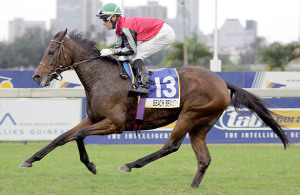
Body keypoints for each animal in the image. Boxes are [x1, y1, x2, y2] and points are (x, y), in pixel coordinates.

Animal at [19, 29, 290, 187]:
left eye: (51, 51)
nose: (36, 77)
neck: (102, 78)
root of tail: (222, 81)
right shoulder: (94, 118)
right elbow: (63, 137)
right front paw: (29, 160)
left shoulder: (115, 124)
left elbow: (79, 136)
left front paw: (91, 165)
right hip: (202, 124)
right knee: (204, 159)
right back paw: (192, 187)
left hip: (190, 114)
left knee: (171, 146)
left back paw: (130, 165)